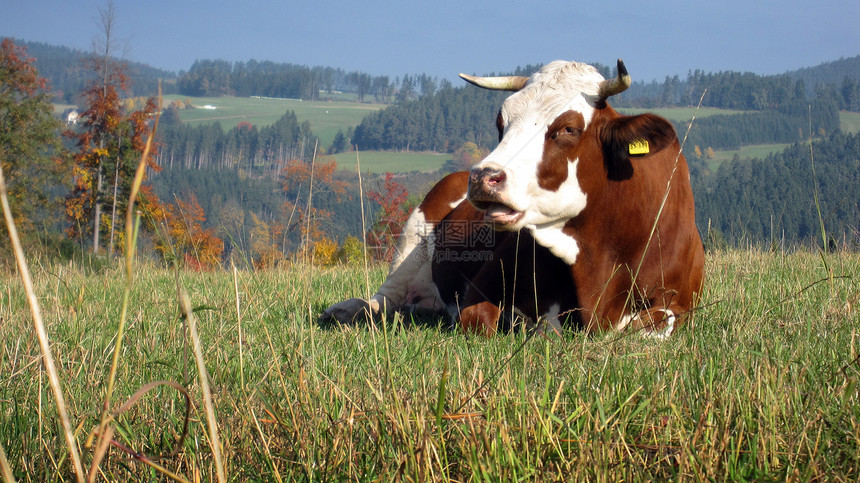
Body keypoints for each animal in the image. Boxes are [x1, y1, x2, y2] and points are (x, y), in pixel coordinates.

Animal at [322, 59, 704, 336]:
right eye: (500, 122)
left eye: (568, 128)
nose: (482, 177)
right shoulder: (481, 289)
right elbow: (482, 319)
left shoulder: (680, 303)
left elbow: (656, 322)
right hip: (412, 237)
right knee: (384, 300)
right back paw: (345, 309)